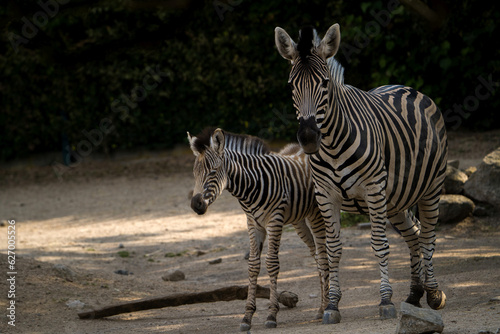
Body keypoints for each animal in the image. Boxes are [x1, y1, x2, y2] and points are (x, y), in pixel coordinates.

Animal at [188, 129, 328, 332]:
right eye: (194, 174)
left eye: (213, 172)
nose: (195, 205)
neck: (252, 184)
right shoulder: (253, 224)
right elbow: (253, 265)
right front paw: (247, 316)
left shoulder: (274, 220)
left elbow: (272, 264)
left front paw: (271, 314)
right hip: (300, 220)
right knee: (316, 254)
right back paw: (321, 308)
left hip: (317, 213)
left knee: (324, 255)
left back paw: (327, 306)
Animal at [274, 24, 450, 324]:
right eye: (291, 85)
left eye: (324, 83)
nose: (308, 138)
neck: (332, 145)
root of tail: (407, 88)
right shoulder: (325, 195)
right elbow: (333, 250)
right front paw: (332, 305)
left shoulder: (372, 189)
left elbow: (379, 244)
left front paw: (385, 301)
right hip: (396, 202)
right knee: (414, 235)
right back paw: (415, 294)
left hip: (430, 188)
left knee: (427, 236)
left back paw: (434, 293)